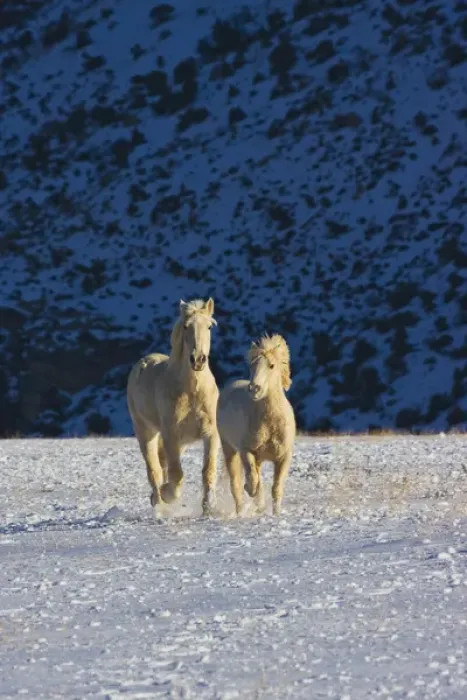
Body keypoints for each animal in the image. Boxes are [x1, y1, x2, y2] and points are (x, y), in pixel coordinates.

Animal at [127, 298, 220, 515]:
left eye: (209, 326)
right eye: (186, 326)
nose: (198, 360)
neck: (192, 392)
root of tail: (144, 361)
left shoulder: (210, 432)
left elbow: (208, 469)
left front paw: (208, 508)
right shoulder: (171, 433)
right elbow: (176, 474)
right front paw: (168, 494)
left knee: (162, 464)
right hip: (146, 431)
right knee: (154, 469)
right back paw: (158, 502)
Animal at [217, 334, 295, 517]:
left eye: (271, 365)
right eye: (252, 365)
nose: (254, 389)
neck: (270, 423)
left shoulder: (284, 457)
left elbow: (276, 488)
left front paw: (276, 513)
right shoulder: (247, 452)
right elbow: (253, 481)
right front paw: (255, 497)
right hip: (229, 450)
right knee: (236, 485)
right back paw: (240, 511)